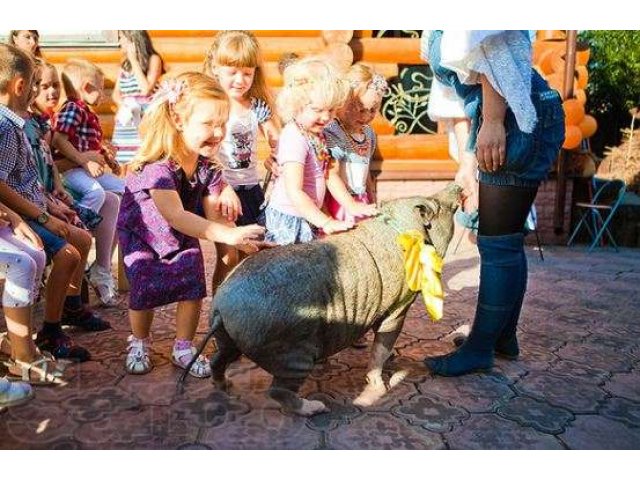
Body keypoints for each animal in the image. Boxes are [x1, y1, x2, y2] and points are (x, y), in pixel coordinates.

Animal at [180, 184, 460, 416]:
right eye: (439, 207)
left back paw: (225, 386)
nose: (456, 186)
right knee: (278, 389)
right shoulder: (398, 306)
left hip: (228, 334)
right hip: (291, 350)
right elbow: (383, 344)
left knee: (219, 358)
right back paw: (315, 408)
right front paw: (380, 388)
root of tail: (222, 307)